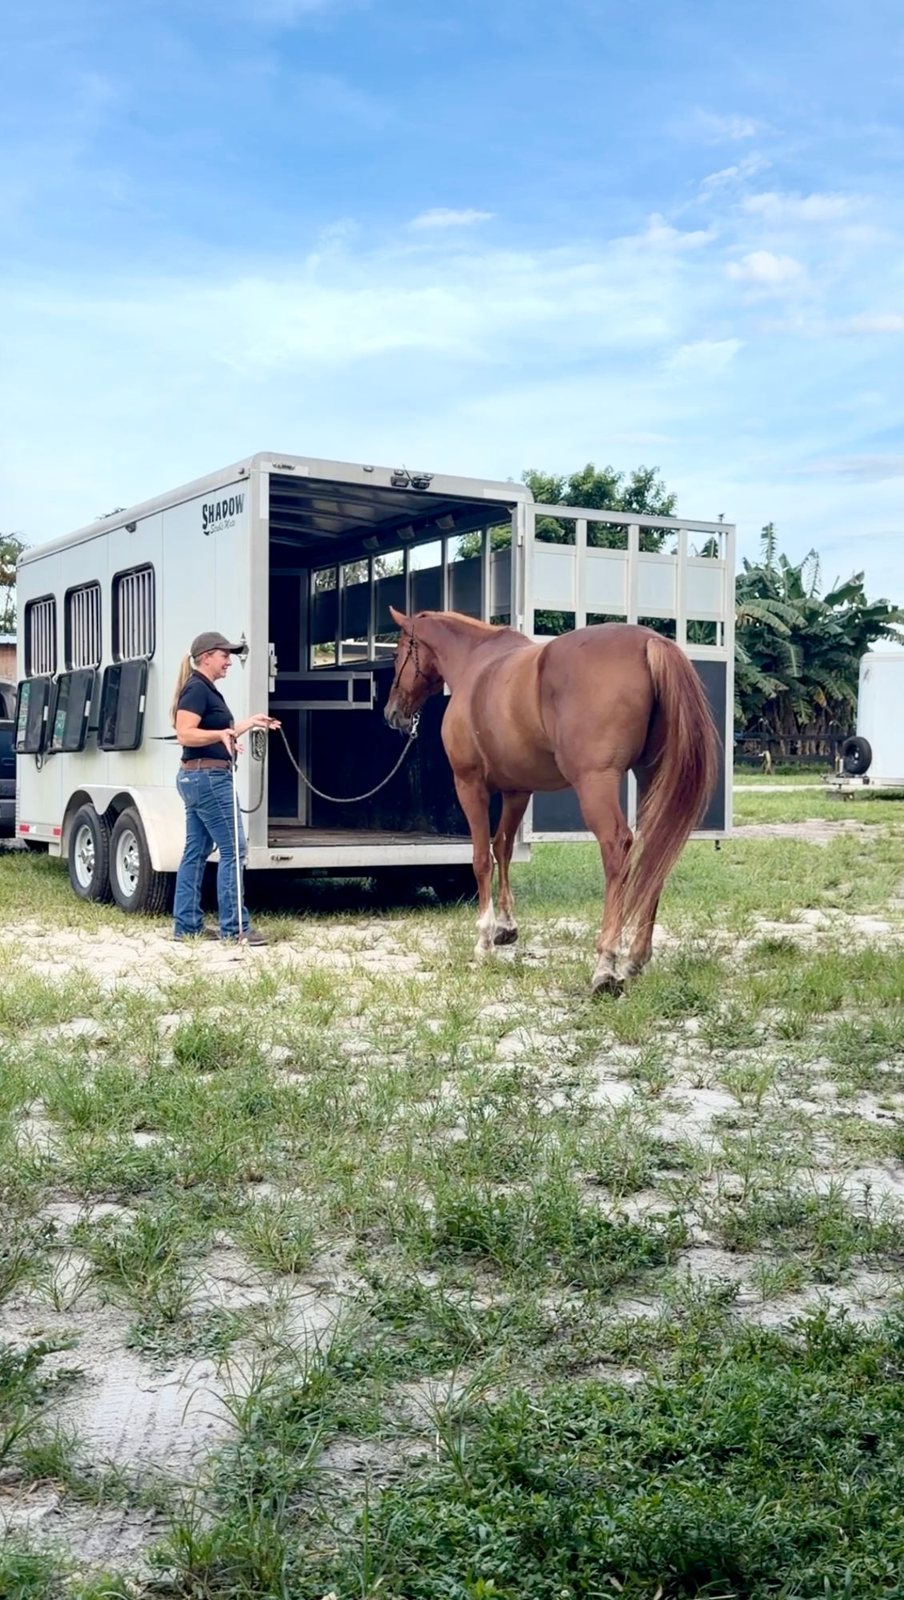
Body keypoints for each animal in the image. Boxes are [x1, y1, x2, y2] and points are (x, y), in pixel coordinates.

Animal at [384, 608, 718, 993]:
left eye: (397, 653)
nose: (391, 713)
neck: (475, 663)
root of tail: (650, 642)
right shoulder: (517, 791)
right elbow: (503, 849)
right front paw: (506, 928)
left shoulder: (470, 785)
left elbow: (481, 858)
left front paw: (483, 940)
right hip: (651, 778)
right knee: (655, 852)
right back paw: (636, 958)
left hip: (595, 783)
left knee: (617, 848)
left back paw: (605, 965)